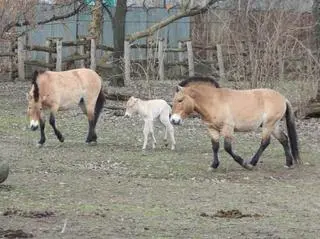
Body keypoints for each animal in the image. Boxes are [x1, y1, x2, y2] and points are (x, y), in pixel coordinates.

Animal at [171, 76, 302, 170]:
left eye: (180, 100)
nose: (173, 120)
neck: (213, 102)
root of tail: (283, 98)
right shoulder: (212, 129)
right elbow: (215, 146)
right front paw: (214, 165)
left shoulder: (228, 129)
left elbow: (227, 148)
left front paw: (243, 163)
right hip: (273, 126)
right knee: (284, 139)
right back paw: (288, 163)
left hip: (268, 125)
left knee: (265, 142)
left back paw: (252, 163)